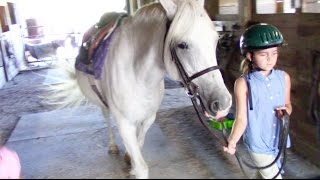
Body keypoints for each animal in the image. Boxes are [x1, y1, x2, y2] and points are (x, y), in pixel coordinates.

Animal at [53, 0, 232, 178]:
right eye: (182, 45)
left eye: (215, 40)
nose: (223, 102)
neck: (139, 75)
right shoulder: (125, 123)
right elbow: (141, 168)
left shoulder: (148, 118)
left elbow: (139, 144)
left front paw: (129, 160)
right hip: (102, 103)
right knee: (107, 118)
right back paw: (112, 146)